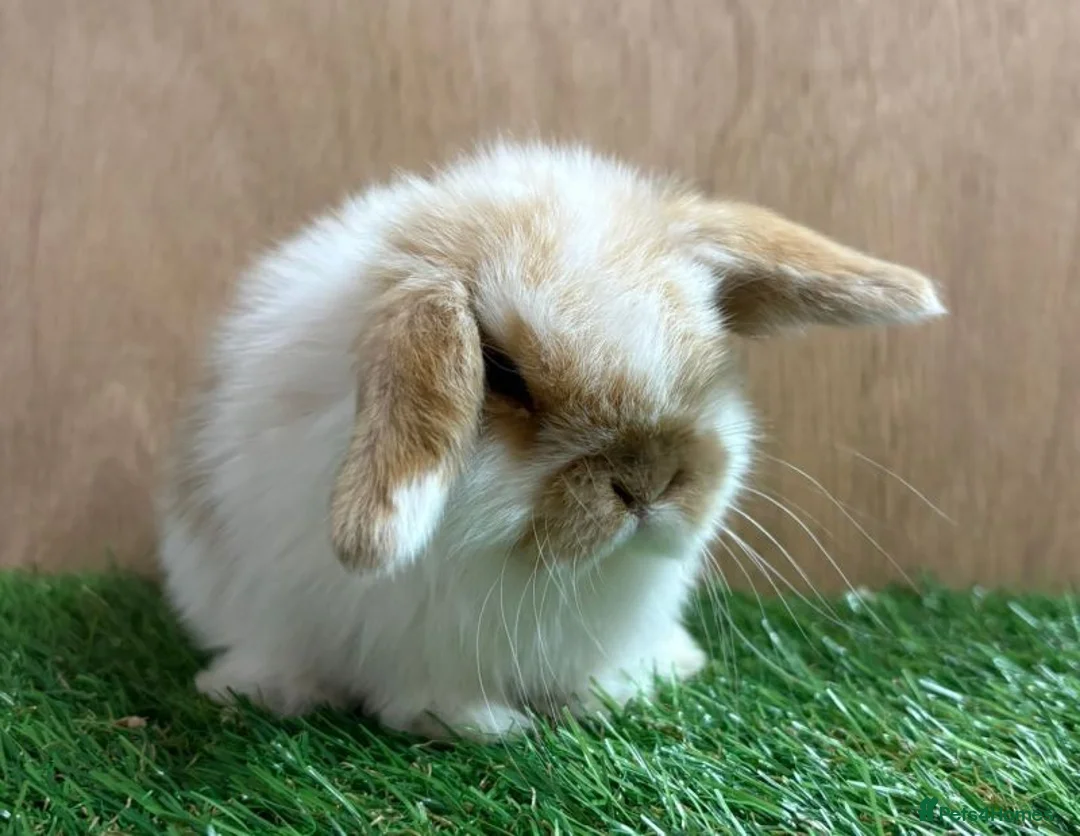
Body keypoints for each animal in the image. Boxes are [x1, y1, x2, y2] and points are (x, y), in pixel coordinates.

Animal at [158, 141, 945, 741]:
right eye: (503, 373)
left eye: (707, 355)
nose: (647, 483)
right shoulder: (413, 639)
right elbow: (428, 694)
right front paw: (487, 727)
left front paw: (617, 691)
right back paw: (258, 688)